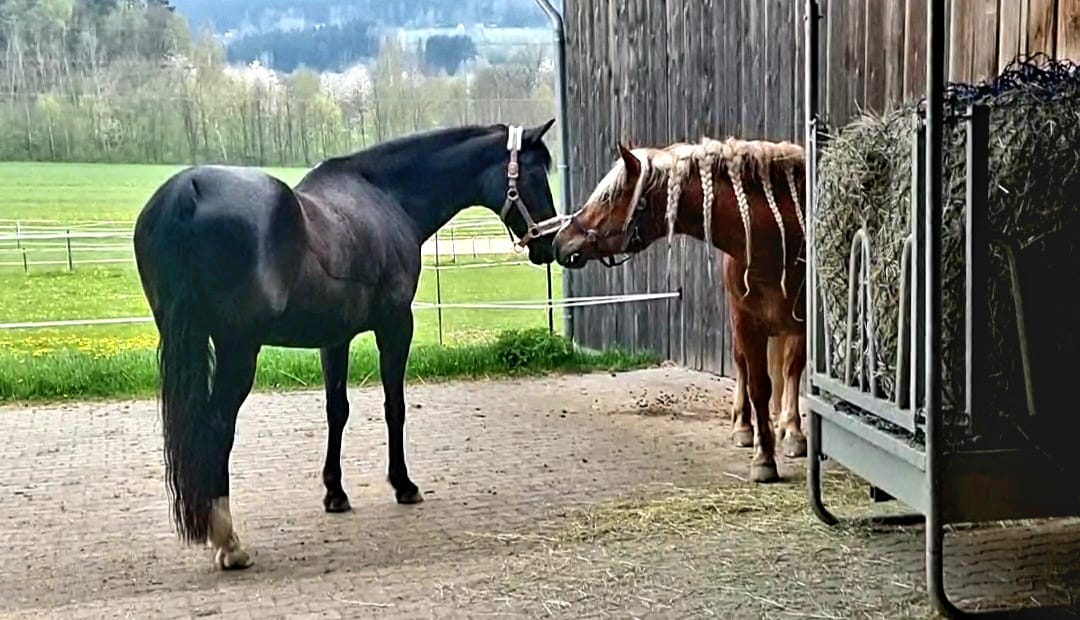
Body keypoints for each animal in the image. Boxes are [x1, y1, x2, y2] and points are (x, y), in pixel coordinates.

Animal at [132, 121, 562, 569]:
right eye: (535, 174)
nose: (549, 243)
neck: (386, 196)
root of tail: (188, 190)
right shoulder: (396, 325)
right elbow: (395, 406)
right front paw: (403, 485)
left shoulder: (334, 339)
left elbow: (336, 411)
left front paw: (335, 493)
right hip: (238, 349)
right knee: (217, 425)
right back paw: (229, 542)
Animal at [552, 137, 807, 483]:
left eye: (608, 197)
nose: (559, 241)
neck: (777, 242)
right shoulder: (746, 322)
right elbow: (758, 386)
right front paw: (763, 457)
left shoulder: (804, 322)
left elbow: (791, 369)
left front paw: (791, 433)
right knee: (741, 364)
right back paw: (743, 428)